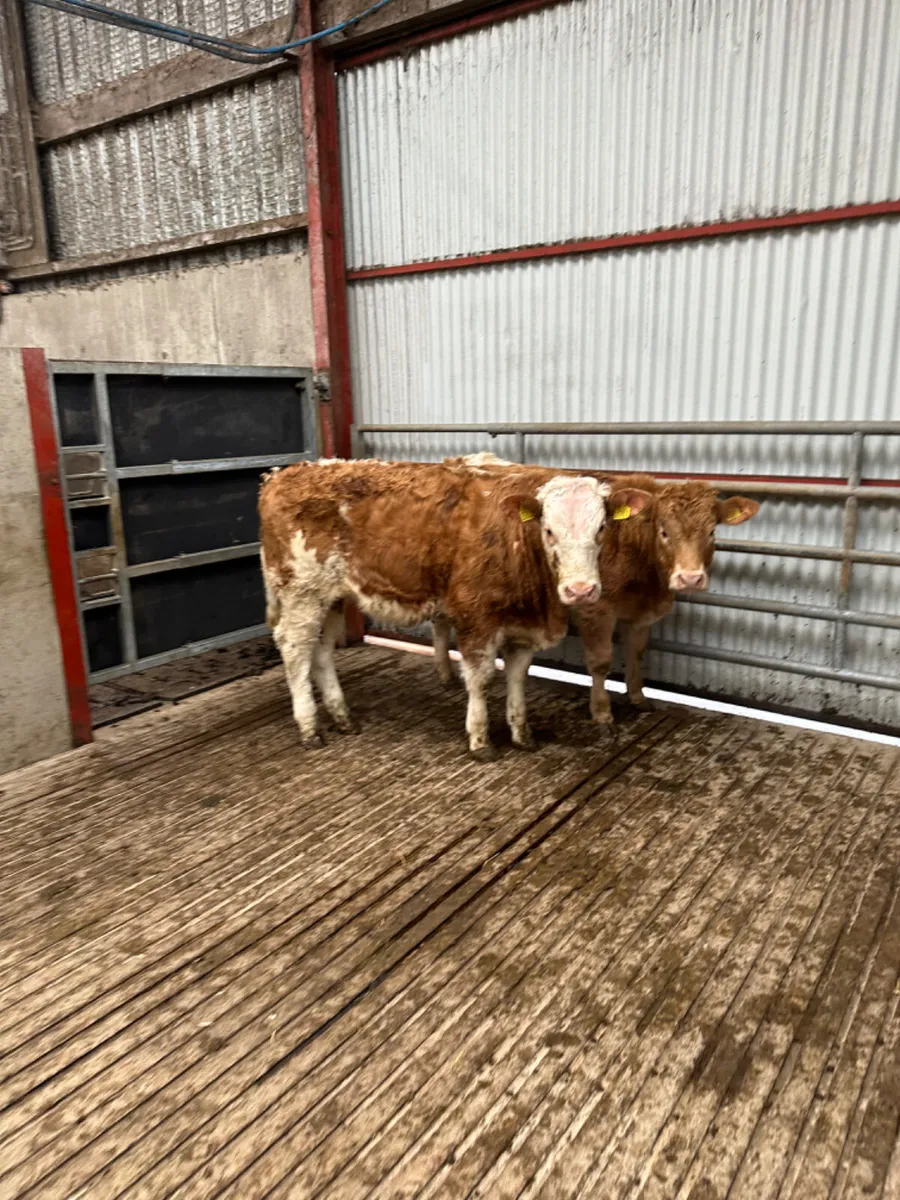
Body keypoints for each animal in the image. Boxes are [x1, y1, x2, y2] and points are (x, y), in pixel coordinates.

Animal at [259, 458, 651, 759]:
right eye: (549, 530)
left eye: (602, 527)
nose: (581, 590)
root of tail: (284, 474)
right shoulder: (475, 617)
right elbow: (480, 678)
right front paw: (479, 740)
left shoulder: (523, 625)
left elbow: (517, 676)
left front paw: (521, 734)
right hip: (300, 592)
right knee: (295, 649)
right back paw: (309, 728)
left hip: (331, 596)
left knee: (321, 650)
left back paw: (342, 717)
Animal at [431, 456, 759, 727]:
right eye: (664, 531)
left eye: (712, 531)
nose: (690, 578)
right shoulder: (594, 610)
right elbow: (601, 662)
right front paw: (602, 711)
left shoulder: (640, 613)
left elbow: (636, 653)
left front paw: (638, 697)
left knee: (440, 622)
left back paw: (446, 674)